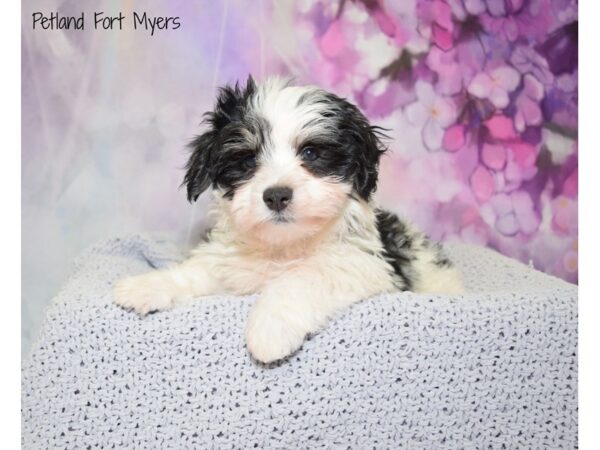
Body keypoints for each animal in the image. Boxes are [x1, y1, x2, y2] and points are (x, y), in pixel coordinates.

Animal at [115, 74, 462, 362]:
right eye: (248, 160)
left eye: (310, 153)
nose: (277, 195)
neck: (283, 245)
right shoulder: (232, 266)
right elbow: (199, 272)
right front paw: (148, 285)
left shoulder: (360, 265)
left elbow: (302, 279)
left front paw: (270, 328)